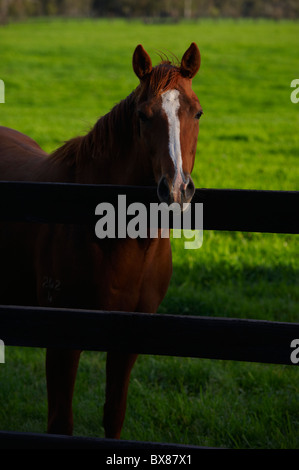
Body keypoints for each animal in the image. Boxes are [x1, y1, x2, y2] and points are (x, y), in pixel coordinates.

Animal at [0, 42, 203, 438]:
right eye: (143, 116)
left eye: (197, 113)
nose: (175, 190)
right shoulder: (62, 340)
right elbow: (60, 423)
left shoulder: (128, 336)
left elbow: (114, 415)